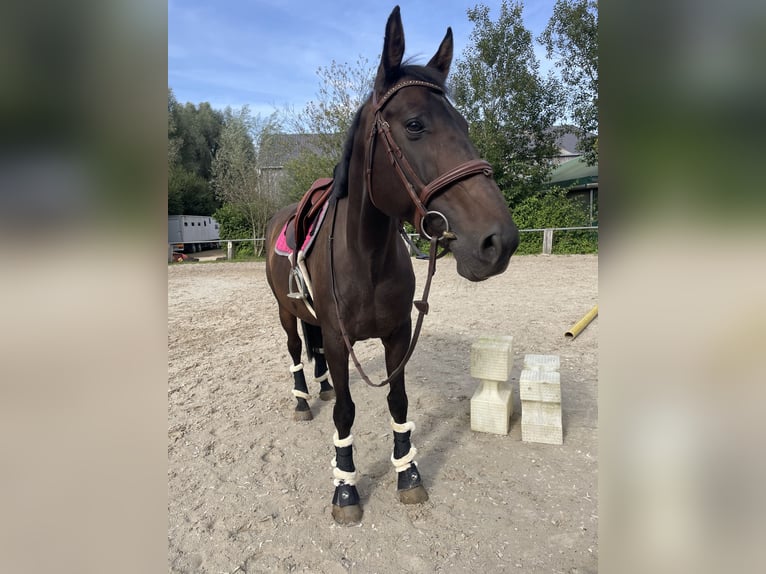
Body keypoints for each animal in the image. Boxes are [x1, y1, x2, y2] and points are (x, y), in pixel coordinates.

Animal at [266, 5, 520, 528]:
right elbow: (346, 412)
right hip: (285, 312)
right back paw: (303, 399)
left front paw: (408, 473)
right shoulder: (340, 340)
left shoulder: (398, 334)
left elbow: (397, 401)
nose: (499, 241)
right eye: (415, 125)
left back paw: (320, 388)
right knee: (295, 351)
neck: (365, 258)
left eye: (465, 125)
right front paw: (345, 486)